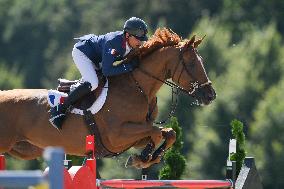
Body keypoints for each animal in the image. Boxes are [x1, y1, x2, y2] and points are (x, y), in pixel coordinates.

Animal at [0, 28, 215, 168]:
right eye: (192, 63)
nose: (211, 95)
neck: (139, 88)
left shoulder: (132, 137)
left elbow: (168, 133)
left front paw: (146, 157)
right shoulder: (117, 135)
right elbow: (155, 131)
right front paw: (143, 158)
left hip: (23, 149)